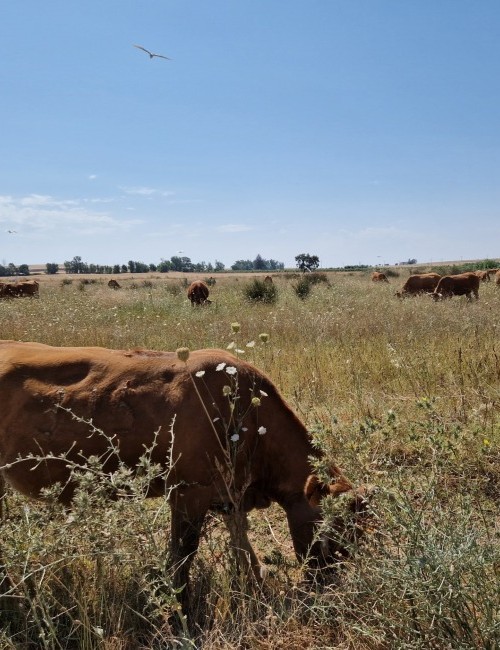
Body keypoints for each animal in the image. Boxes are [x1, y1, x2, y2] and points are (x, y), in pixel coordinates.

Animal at [0, 340, 374, 608]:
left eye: (357, 536)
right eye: (333, 533)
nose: (329, 589)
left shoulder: (230, 496)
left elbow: (243, 548)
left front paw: (256, 589)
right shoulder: (188, 492)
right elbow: (183, 555)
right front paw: (181, 608)